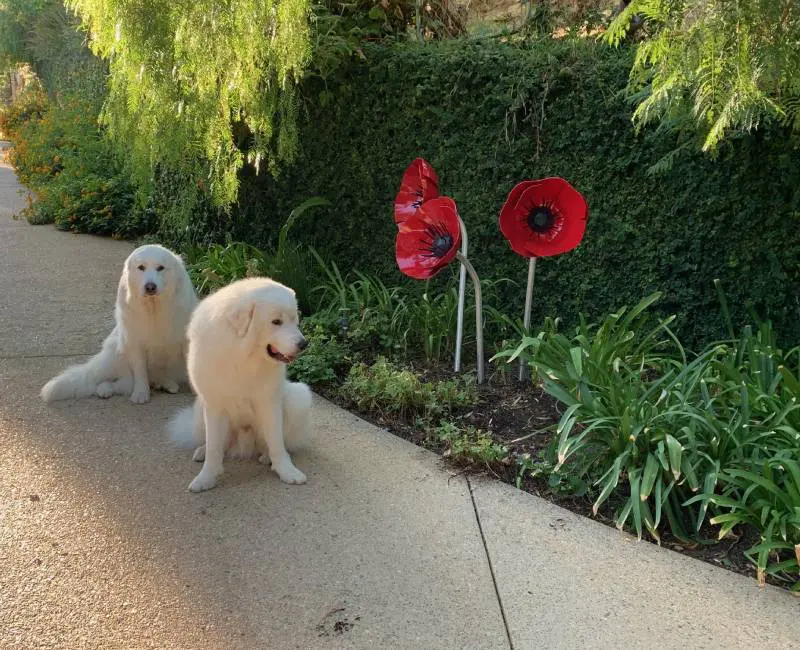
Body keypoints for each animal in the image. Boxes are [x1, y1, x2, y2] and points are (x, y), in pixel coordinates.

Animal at [40, 243, 198, 402]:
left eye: (160, 268)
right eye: (141, 267)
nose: (150, 287)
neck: (153, 308)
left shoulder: (186, 342)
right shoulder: (134, 342)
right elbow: (140, 372)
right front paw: (140, 394)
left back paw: (166, 384)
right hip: (115, 354)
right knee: (105, 381)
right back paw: (104, 390)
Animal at [169, 274, 312, 492]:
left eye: (294, 320)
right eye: (276, 322)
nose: (304, 344)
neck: (242, 355)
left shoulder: (269, 403)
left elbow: (277, 443)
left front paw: (287, 471)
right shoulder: (214, 405)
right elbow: (214, 447)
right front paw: (206, 478)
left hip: (298, 398)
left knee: (273, 443)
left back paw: (266, 457)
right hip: (200, 409)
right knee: (218, 444)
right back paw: (202, 451)